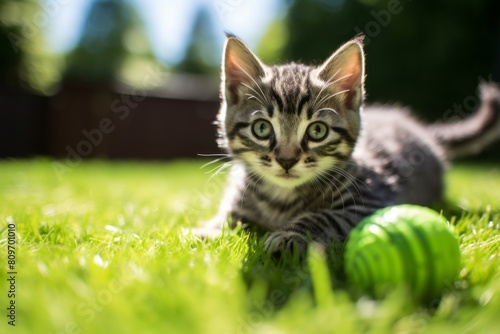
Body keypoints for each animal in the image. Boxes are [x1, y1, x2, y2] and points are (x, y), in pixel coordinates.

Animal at [198, 34, 500, 254]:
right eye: (262, 128)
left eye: (317, 131)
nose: (286, 159)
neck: (281, 199)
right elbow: (229, 215)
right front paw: (207, 230)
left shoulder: (373, 199)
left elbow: (325, 216)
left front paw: (289, 235)